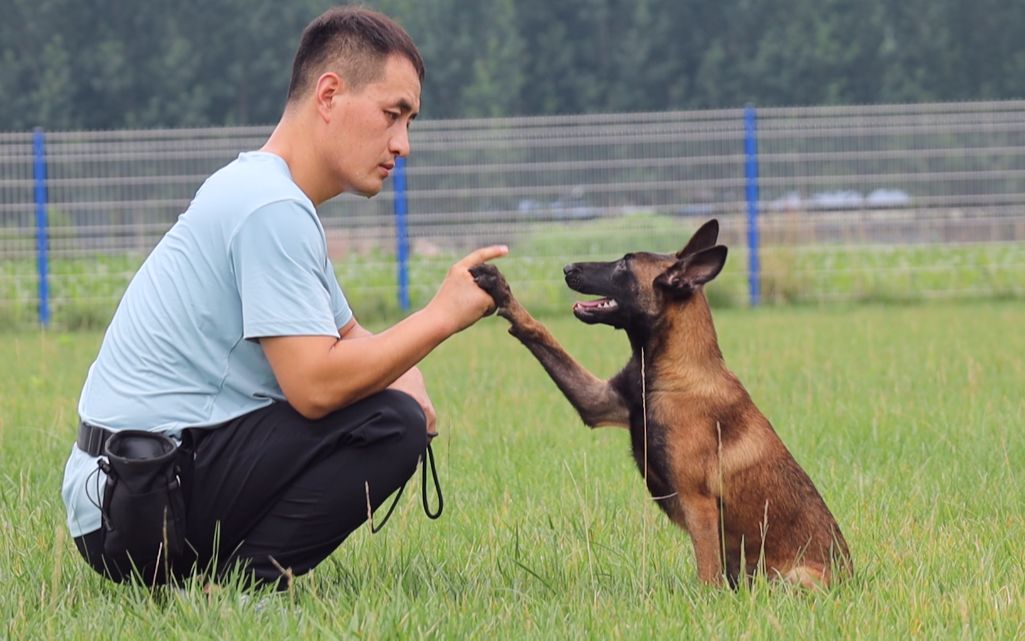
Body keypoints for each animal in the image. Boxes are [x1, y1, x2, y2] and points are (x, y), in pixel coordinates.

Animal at [469, 218, 848, 586]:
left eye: (624, 263)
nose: (567, 267)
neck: (668, 371)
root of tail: (851, 578)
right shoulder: (598, 401)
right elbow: (540, 331)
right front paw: (500, 289)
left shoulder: (699, 504)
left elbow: (708, 577)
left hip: (791, 578)